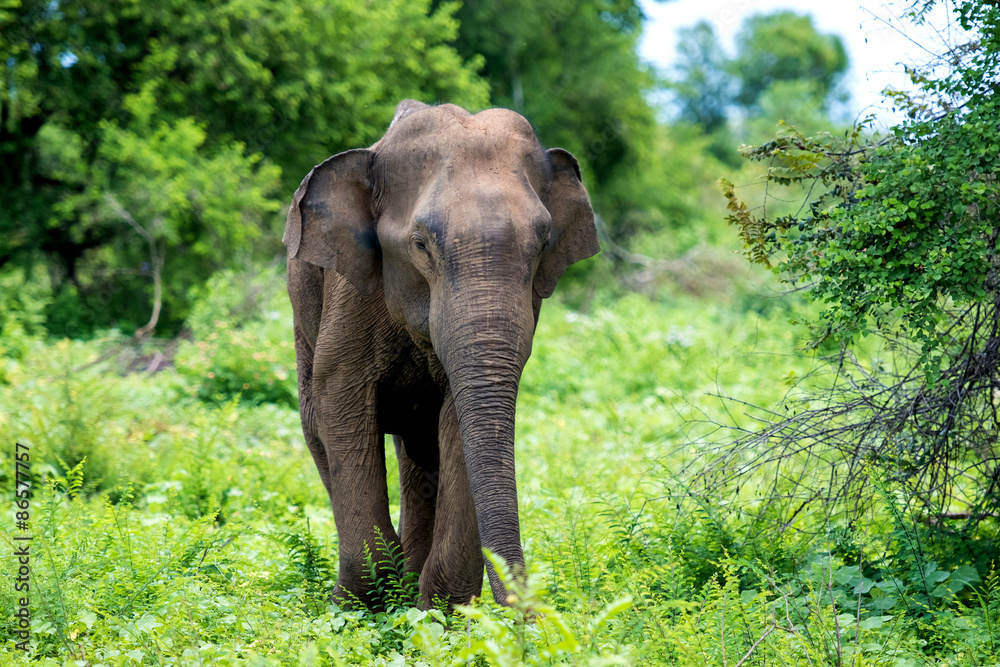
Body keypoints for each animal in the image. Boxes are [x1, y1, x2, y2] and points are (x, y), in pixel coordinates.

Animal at [283, 99, 599, 609]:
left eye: (542, 246)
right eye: (420, 246)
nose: (530, 618)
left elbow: (459, 422)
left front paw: (440, 613)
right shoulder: (351, 297)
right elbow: (341, 400)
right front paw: (357, 608)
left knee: (419, 453)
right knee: (317, 428)